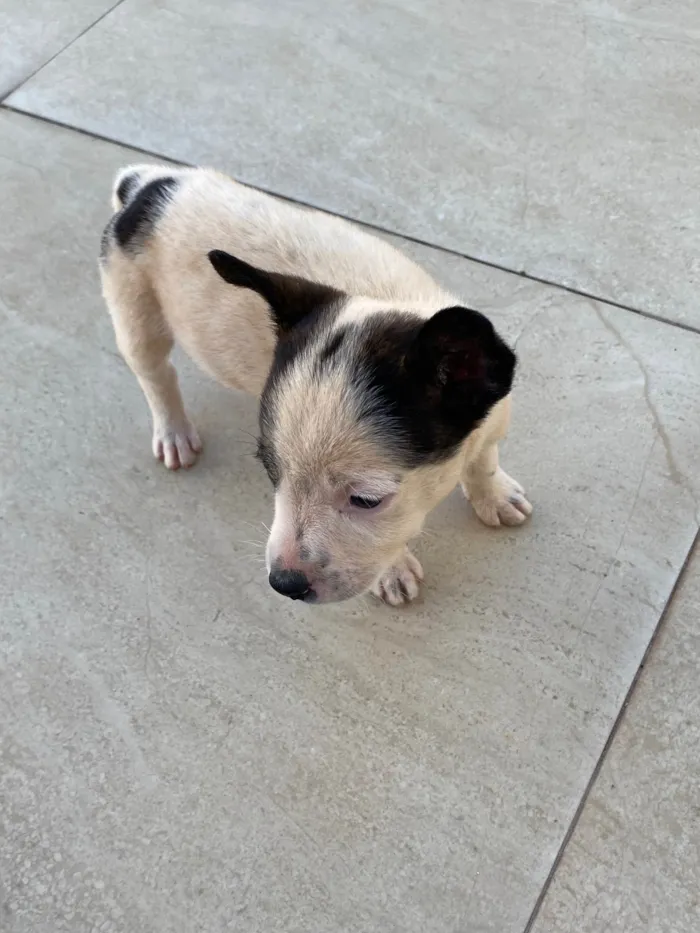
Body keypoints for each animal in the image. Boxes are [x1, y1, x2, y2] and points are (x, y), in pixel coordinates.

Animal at [100, 166, 532, 604]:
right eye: (271, 473)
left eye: (366, 501)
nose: (285, 584)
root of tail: (148, 185)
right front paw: (392, 571)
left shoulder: (491, 419)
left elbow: (483, 460)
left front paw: (493, 494)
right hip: (132, 304)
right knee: (155, 372)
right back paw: (173, 431)